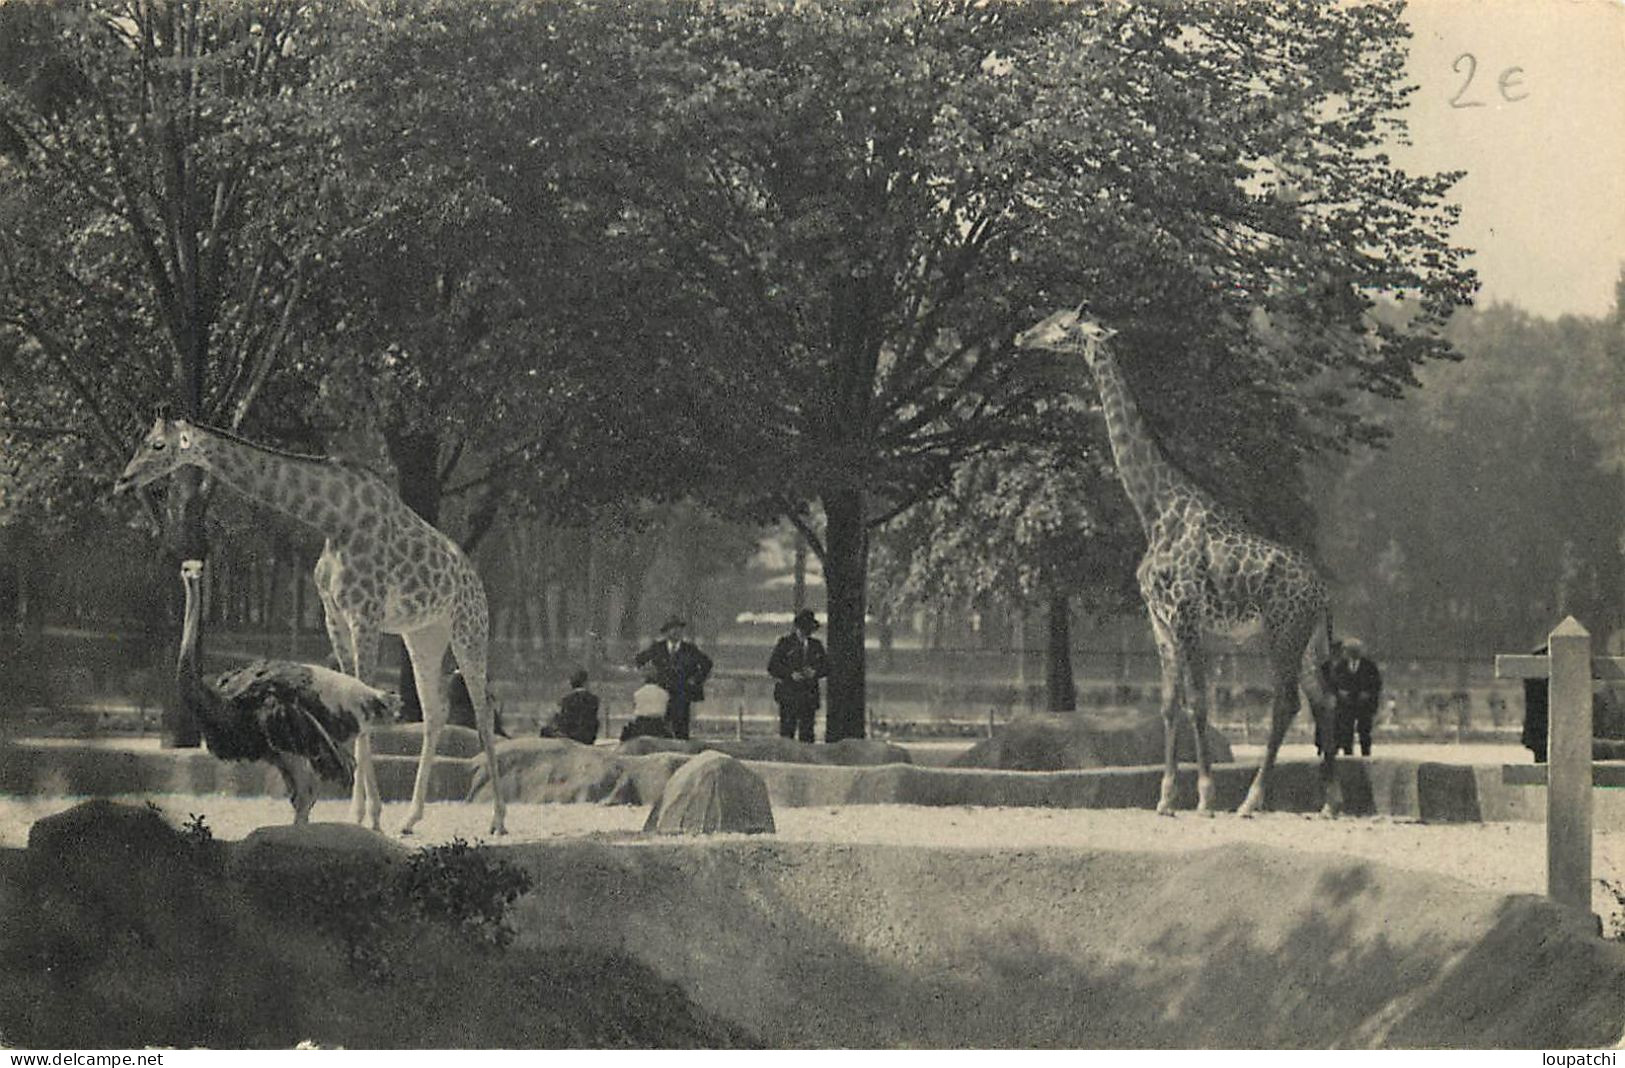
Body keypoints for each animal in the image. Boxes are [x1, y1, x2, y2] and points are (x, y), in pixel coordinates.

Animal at [116, 414, 507, 832]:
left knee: (481, 710)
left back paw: (498, 819)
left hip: (468, 627)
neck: (334, 520)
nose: (124, 480)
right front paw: (360, 814)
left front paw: (370, 815)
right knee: (435, 711)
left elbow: (365, 700)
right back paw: (411, 817)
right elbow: (354, 697)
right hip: (423, 634)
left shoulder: (365, 614)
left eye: (157, 445)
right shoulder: (334, 615)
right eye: (143, 440)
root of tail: (474, 577)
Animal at [1014, 308, 1345, 816]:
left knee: (1286, 702)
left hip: (1281, 630)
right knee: (1323, 701)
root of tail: (1322, 592)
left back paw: (1251, 800)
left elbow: (1198, 702)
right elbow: (1169, 704)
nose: (1020, 335)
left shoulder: (1186, 614)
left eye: (1063, 324)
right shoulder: (1159, 619)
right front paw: (1166, 798)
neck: (1153, 509)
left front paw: (1205, 796)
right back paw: (1329, 801)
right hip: (1307, 640)